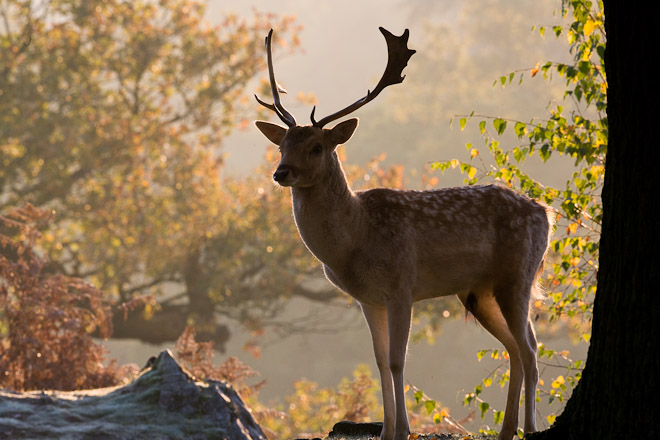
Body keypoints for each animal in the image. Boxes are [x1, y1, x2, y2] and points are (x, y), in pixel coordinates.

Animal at [253, 27, 552, 440]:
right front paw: (385, 429)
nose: (281, 172)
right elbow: (379, 360)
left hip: (518, 276)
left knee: (531, 349)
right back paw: (507, 430)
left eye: (316, 147)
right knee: (515, 349)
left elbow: (397, 360)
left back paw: (530, 427)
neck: (355, 240)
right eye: (282, 145)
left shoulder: (401, 285)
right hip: (479, 293)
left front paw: (403, 429)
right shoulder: (368, 299)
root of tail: (546, 212)